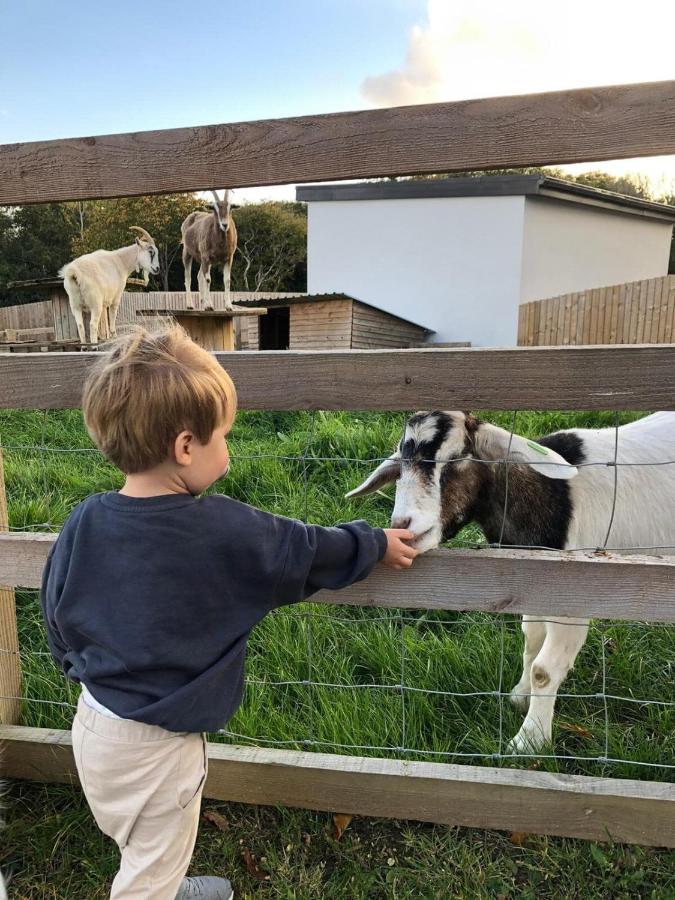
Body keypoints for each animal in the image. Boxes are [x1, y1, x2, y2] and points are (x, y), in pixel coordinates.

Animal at [348, 414, 675, 752]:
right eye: (401, 462)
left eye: (458, 457)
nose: (403, 526)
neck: (549, 494)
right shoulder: (532, 584)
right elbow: (531, 640)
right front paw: (520, 696)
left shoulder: (575, 597)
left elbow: (544, 670)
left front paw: (530, 740)